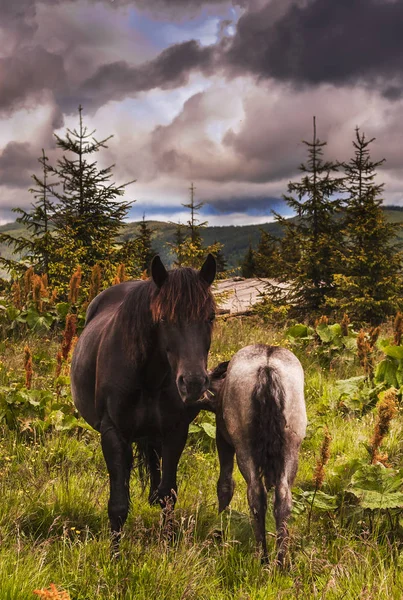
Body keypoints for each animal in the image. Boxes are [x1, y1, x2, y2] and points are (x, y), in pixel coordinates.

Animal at [72, 255, 218, 552]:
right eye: (163, 318)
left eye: (210, 316)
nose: (193, 383)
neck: (149, 378)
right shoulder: (113, 434)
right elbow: (118, 504)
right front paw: (115, 556)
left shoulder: (175, 432)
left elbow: (168, 494)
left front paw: (167, 546)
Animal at [210, 344, 308, 564]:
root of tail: (267, 368)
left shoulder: (222, 438)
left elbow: (225, 485)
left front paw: (220, 521)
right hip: (291, 447)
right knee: (283, 498)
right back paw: (280, 561)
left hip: (244, 446)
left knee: (255, 495)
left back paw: (263, 557)